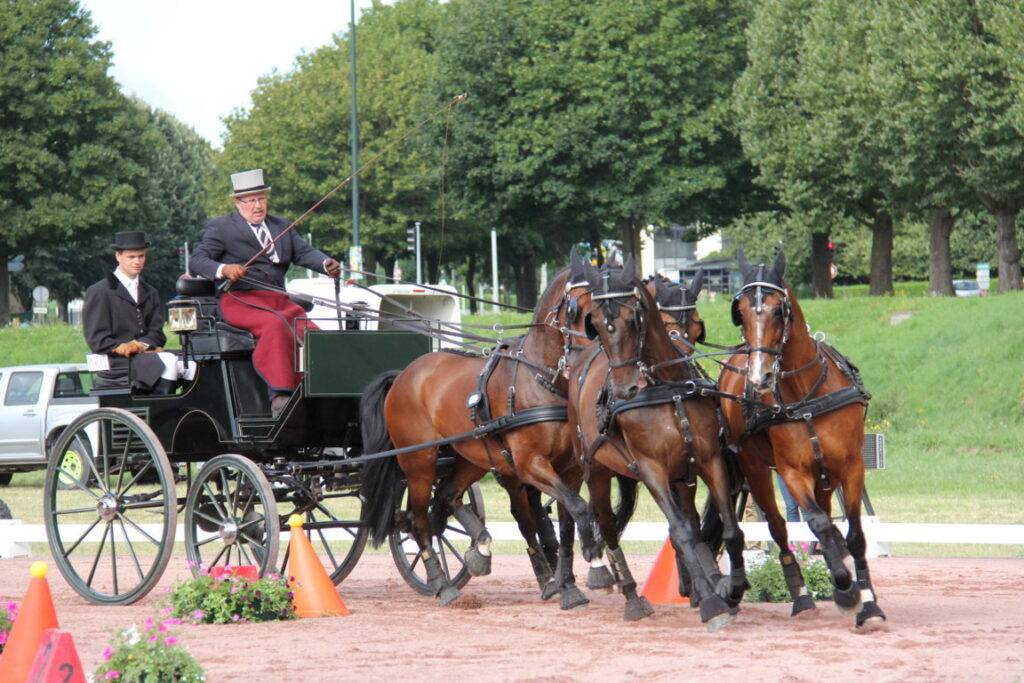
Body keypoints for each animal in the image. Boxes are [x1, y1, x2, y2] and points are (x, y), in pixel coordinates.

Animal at [359, 259, 623, 608]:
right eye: (576, 307)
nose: (600, 355)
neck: (540, 380)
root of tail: (404, 375)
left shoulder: (570, 469)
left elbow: (568, 519)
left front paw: (568, 585)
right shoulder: (529, 464)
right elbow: (574, 509)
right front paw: (593, 569)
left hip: (471, 457)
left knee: (446, 498)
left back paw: (480, 549)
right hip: (419, 463)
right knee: (418, 521)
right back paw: (443, 585)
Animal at [568, 259, 745, 630]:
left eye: (634, 317)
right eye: (597, 325)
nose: (625, 390)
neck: (667, 388)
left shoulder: (706, 460)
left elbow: (727, 528)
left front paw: (730, 590)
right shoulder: (651, 469)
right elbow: (682, 532)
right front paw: (713, 604)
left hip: (681, 476)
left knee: (689, 520)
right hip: (597, 472)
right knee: (608, 526)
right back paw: (632, 596)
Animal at [715, 247, 885, 630]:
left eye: (780, 309)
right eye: (740, 311)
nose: (760, 376)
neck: (806, 395)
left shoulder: (851, 467)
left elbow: (855, 535)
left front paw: (868, 603)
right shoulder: (792, 472)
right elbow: (816, 522)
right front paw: (845, 589)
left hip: (825, 476)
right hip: (756, 470)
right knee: (780, 528)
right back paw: (802, 594)